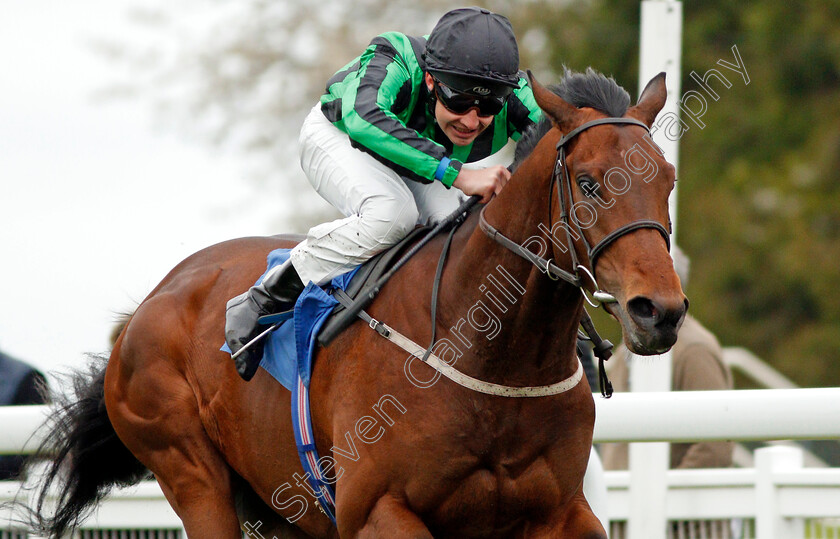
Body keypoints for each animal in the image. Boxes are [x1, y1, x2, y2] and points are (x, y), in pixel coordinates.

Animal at [32, 69, 684, 536]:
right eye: (589, 183)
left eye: (667, 178)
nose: (659, 311)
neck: (494, 356)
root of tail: (149, 303)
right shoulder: (377, 510)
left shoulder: (560, 512)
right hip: (191, 471)